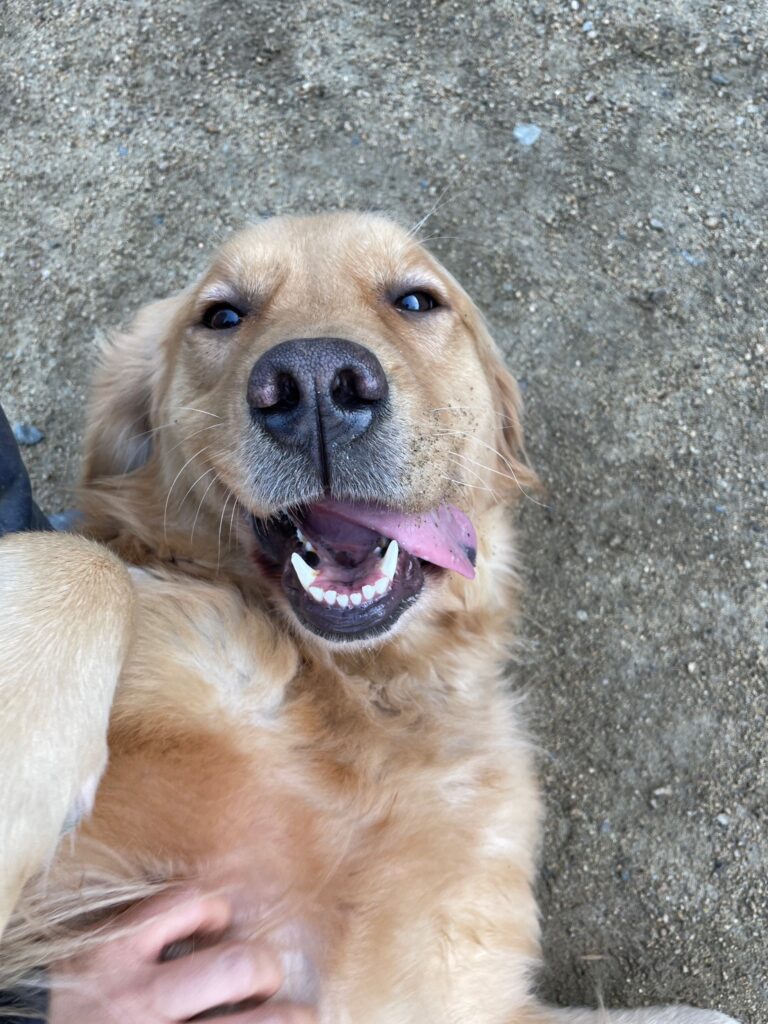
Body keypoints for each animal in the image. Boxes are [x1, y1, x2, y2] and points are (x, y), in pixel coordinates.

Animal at [0, 213, 737, 1023]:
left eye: (415, 300)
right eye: (222, 315)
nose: (316, 384)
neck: (369, 689)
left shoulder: (445, 988)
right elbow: (80, 557)